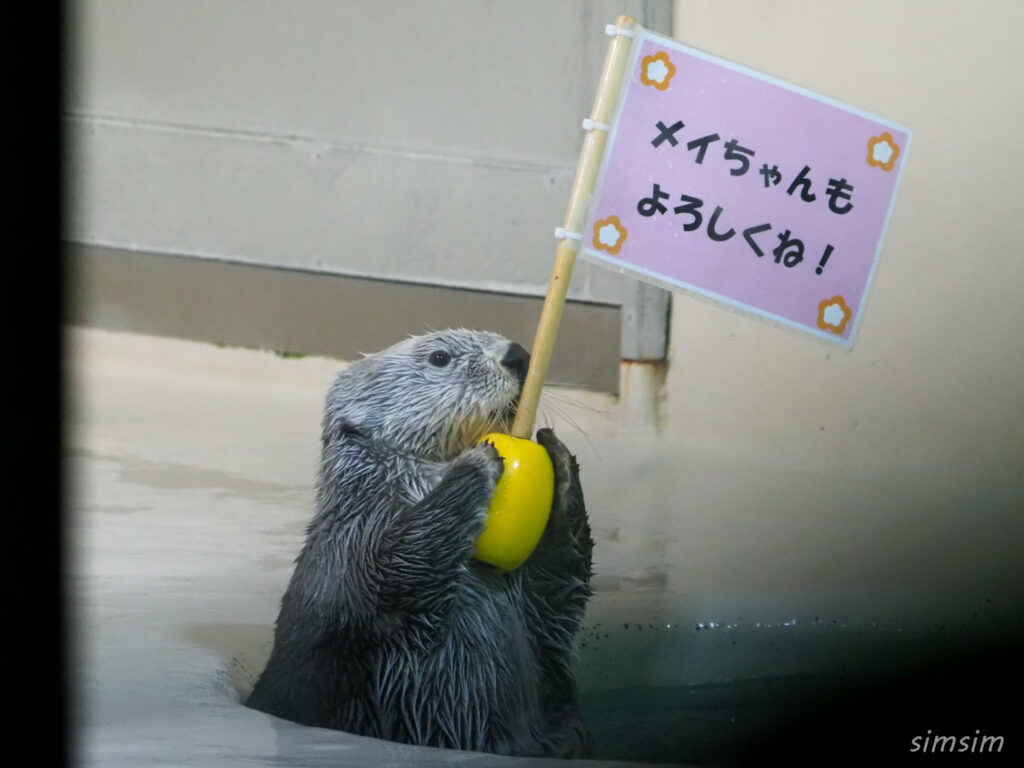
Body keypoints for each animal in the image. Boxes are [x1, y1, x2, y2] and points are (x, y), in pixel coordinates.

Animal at [245, 329, 593, 757]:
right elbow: (402, 564)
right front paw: (473, 467)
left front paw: (558, 459)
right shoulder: (354, 553)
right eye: (439, 358)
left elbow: (559, 586)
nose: (517, 355)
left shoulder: (542, 609)